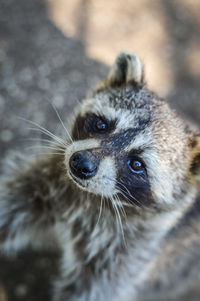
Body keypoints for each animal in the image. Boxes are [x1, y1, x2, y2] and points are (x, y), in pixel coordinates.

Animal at [0, 52, 200, 300]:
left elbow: (94, 289)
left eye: (137, 164)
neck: (92, 197)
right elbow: (12, 202)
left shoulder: (129, 250)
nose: (80, 164)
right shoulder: (49, 180)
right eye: (101, 124)